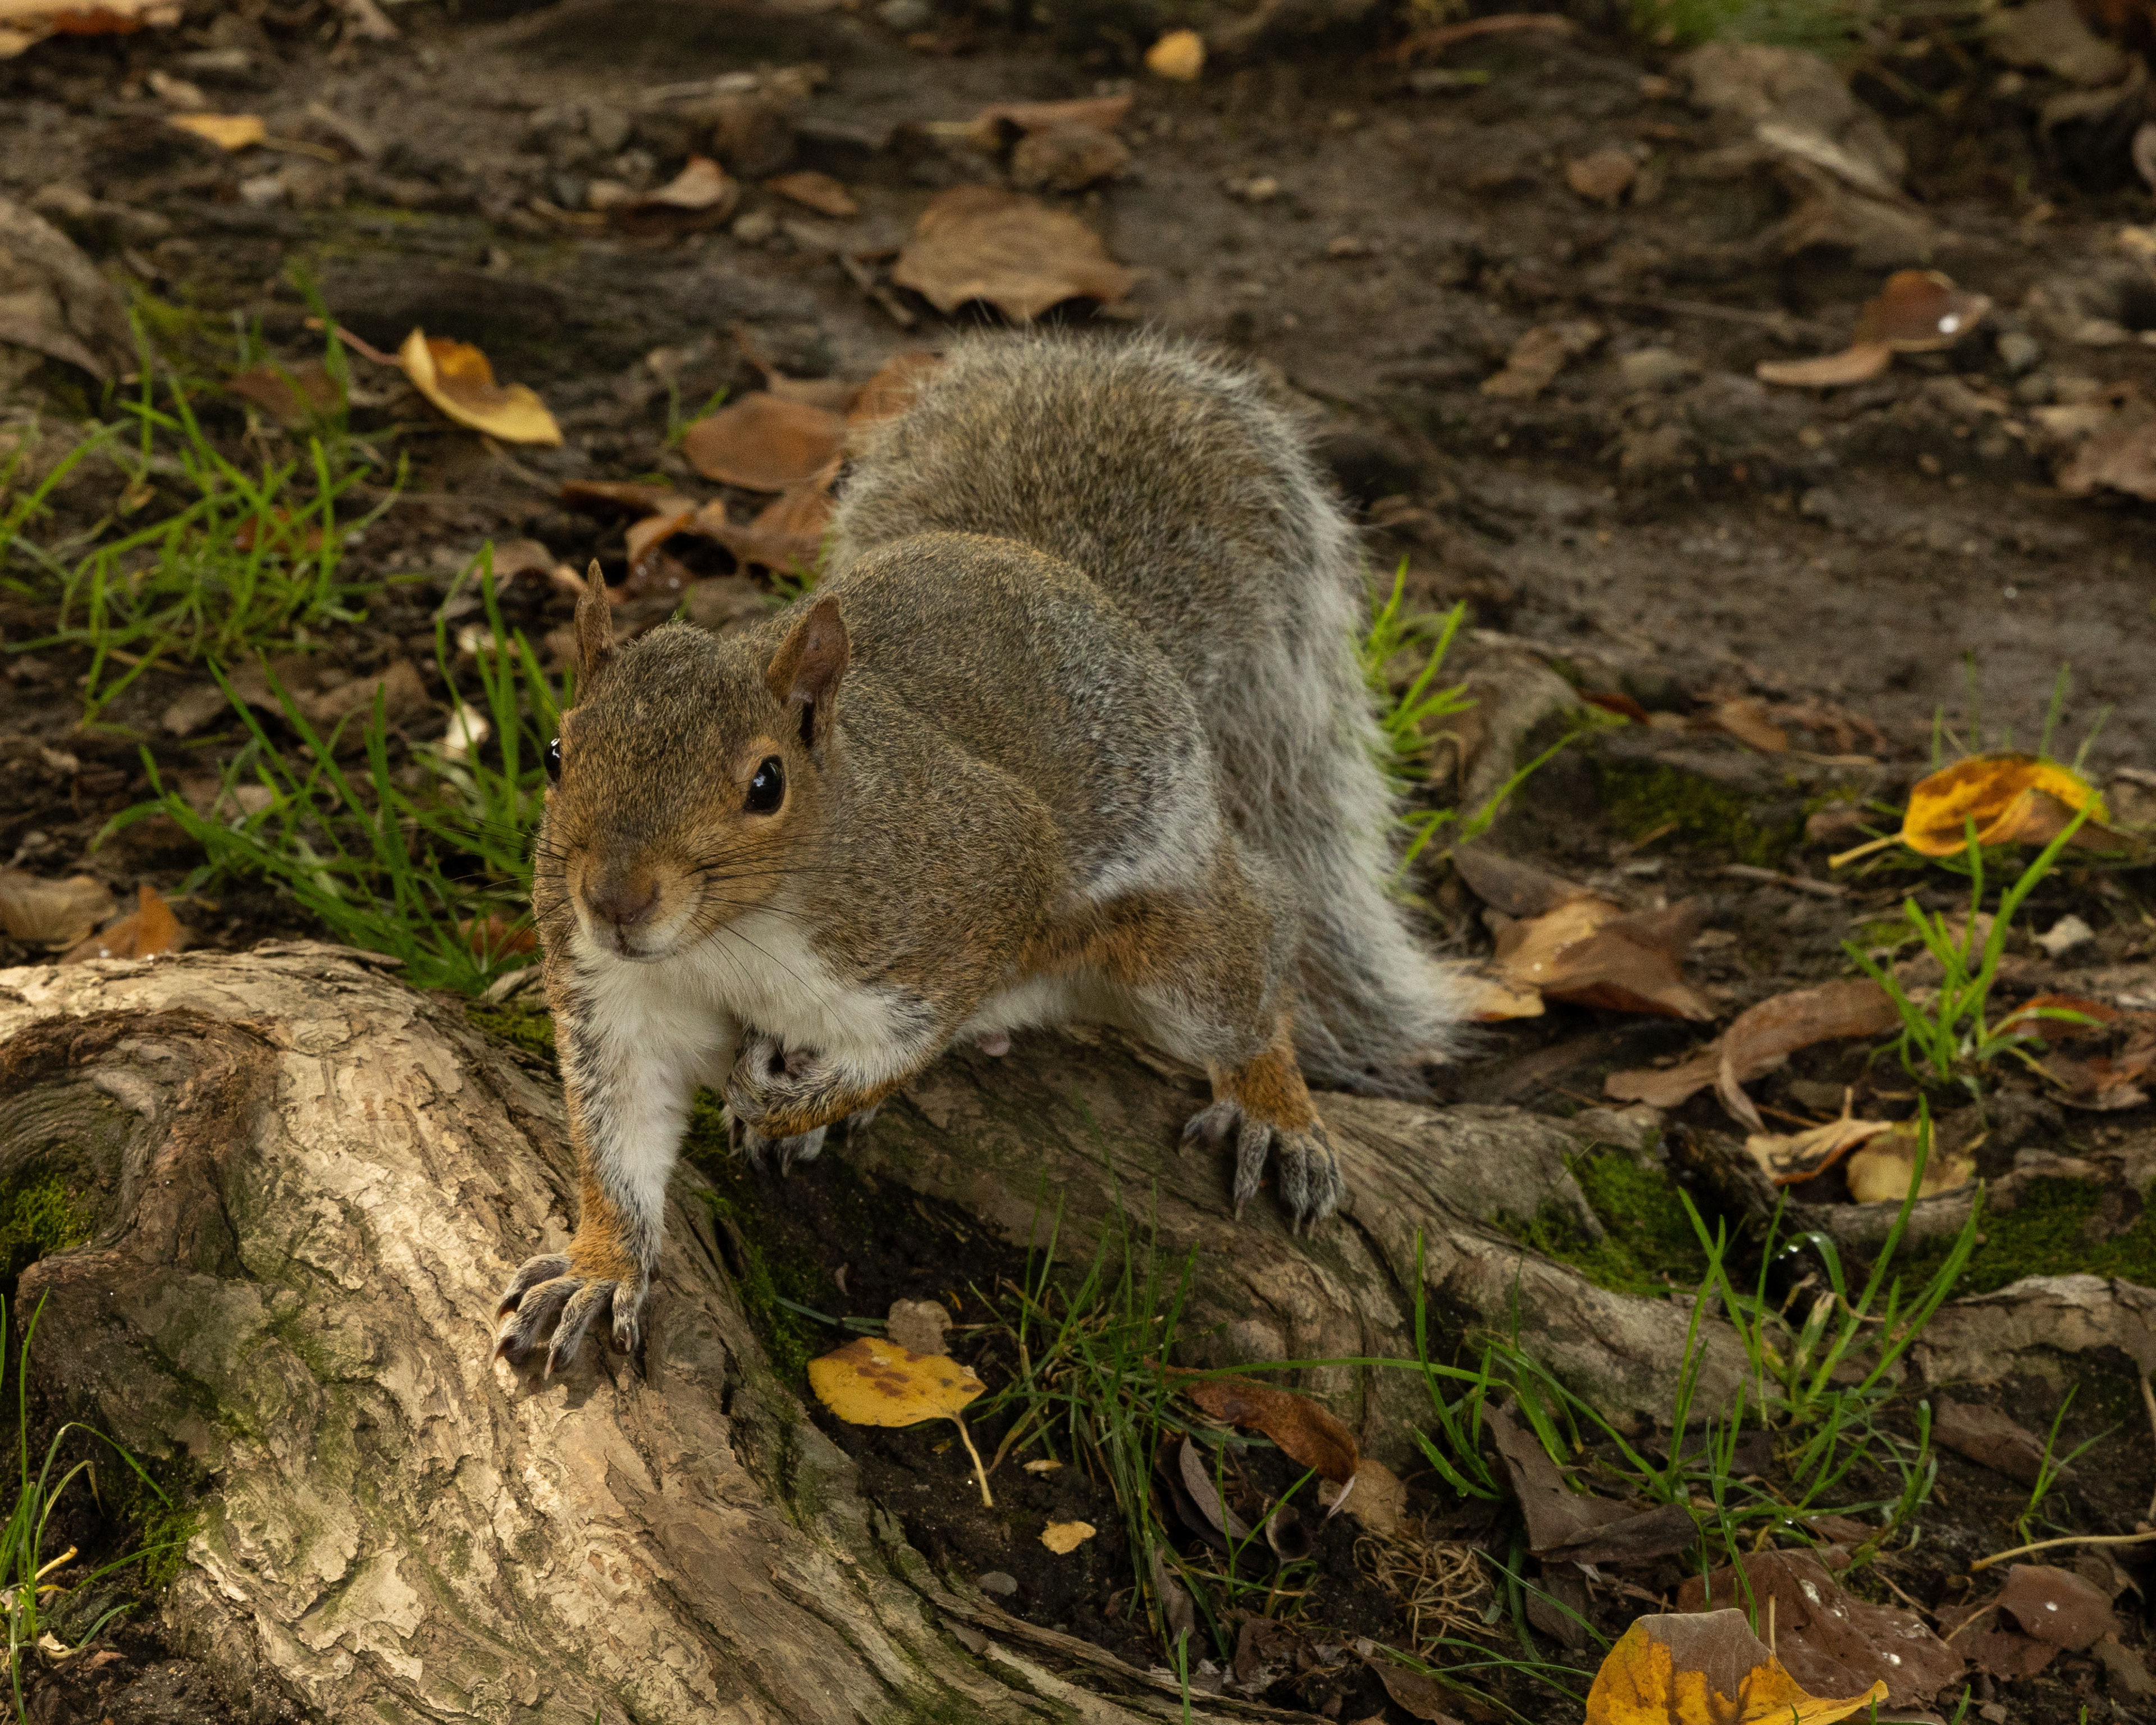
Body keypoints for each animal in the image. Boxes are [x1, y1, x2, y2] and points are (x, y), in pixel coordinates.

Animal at [496, 332, 1469, 1373]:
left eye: (766, 784)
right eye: (554, 754)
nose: (615, 900)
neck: (729, 937)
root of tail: (1093, 598)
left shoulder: (970, 902)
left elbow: (908, 1041)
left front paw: (793, 1105)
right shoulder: (615, 995)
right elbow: (618, 1139)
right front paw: (600, 1265)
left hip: (1174, 946)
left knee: (1258, 955)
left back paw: (1272, 1107)